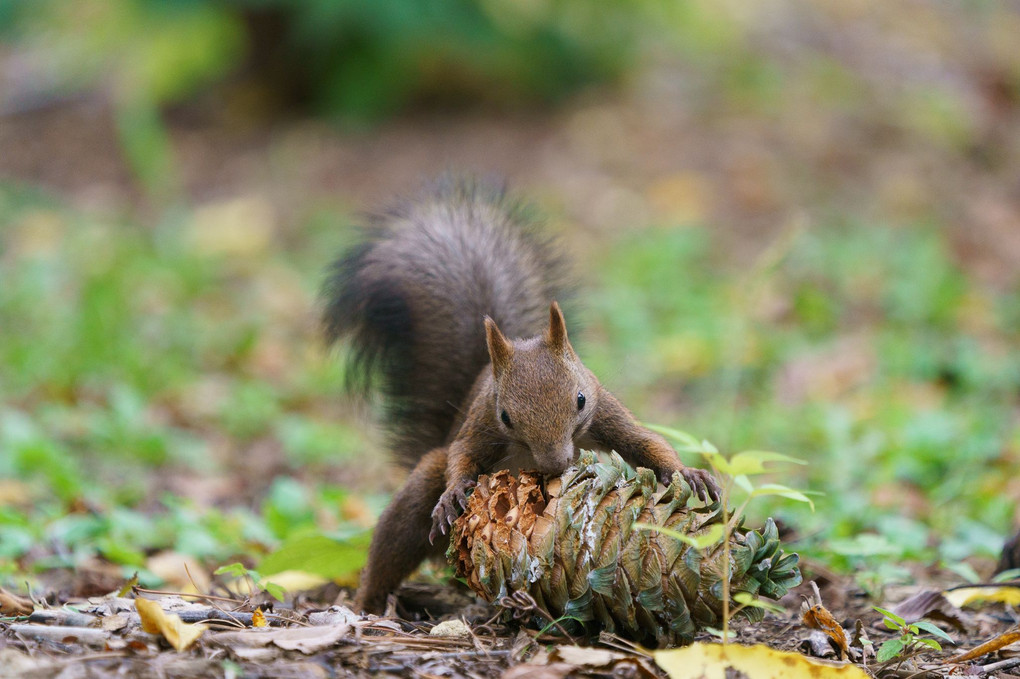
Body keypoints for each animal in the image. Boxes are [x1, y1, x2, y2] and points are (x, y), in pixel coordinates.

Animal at [322, 177, 722, 611]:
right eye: (506, 417)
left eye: (580, 399)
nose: (556, 463)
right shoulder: (481, 424)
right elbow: (462, 454)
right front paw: (453, 492)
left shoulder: (605, 413)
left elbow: (644, 442)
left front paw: (688, 473)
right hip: (419, 495)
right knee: (394, 542)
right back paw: (367, 602)